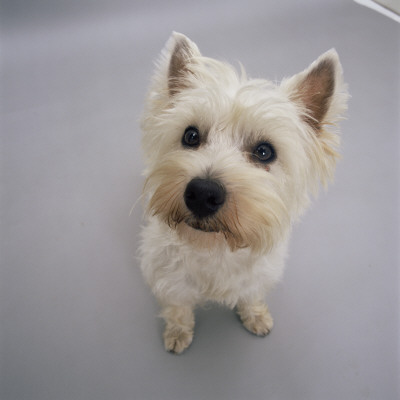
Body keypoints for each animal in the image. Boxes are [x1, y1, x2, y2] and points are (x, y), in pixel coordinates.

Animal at [140, 33, 346, 354]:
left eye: (264, 151)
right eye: (191, 135)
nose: (202, 193)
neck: (215, 248)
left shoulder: (259, 276)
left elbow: (251, 296)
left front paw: (257, 316)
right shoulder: (168, 279)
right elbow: (178, 309)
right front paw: (177, 332)